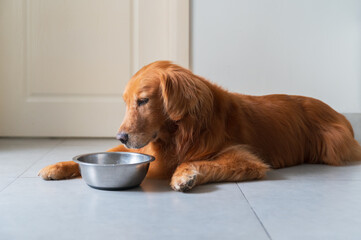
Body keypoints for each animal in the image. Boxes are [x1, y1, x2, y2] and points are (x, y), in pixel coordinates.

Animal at [38, 61, 360, 191]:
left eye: (143, 101)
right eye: (127, 102)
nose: (122, 135)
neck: (181, 133)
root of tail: (339, 114)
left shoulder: (245, 158)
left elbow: (198, 162)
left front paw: (185, 176)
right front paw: (58, 166)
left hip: (332, 145)